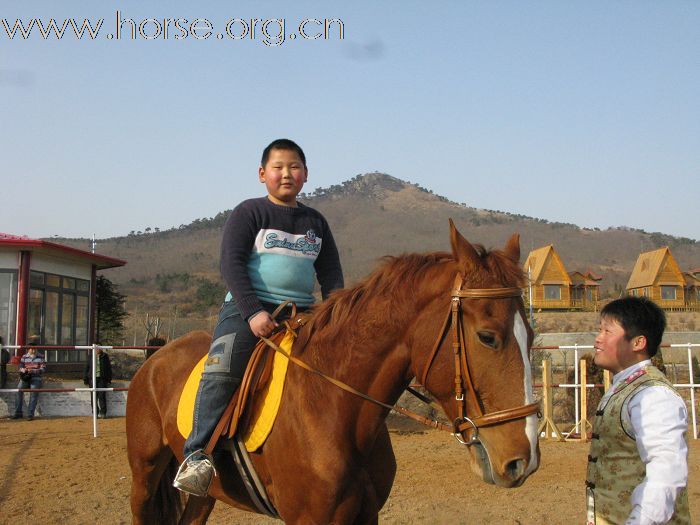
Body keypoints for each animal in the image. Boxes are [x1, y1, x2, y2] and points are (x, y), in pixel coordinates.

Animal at [127, 219, 540, 520]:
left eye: (532, 335)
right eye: (487, 337)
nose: (525, 460)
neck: (332, 406)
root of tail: (155, 357)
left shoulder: (365, 515)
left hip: (206, 495)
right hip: (144, 479)